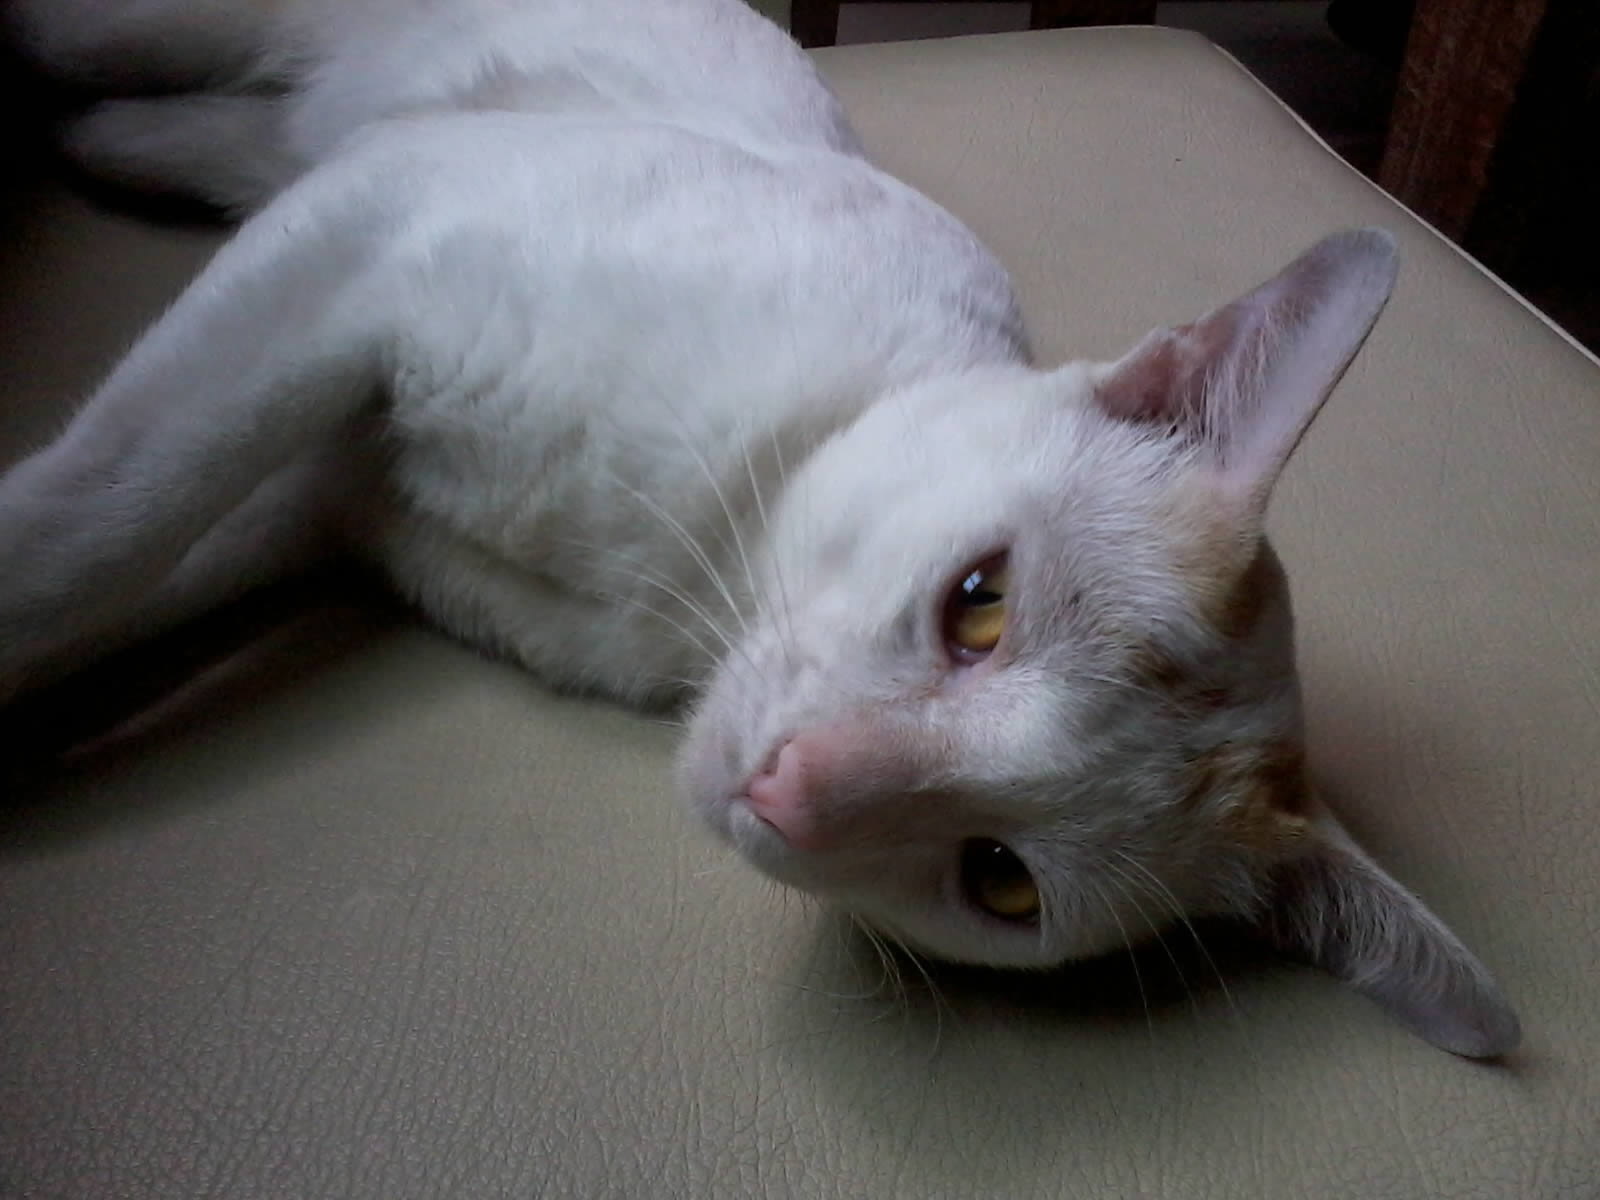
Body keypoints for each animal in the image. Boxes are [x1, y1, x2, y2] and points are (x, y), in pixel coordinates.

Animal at [0, 0, 1518, 1057]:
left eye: (1000, 882)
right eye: (979, 600)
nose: (789, 787)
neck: (689, 573)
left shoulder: (323, 492)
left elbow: (121, 570)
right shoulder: (374, 239)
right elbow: (95, 523)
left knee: (234, 132)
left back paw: (112, 147)